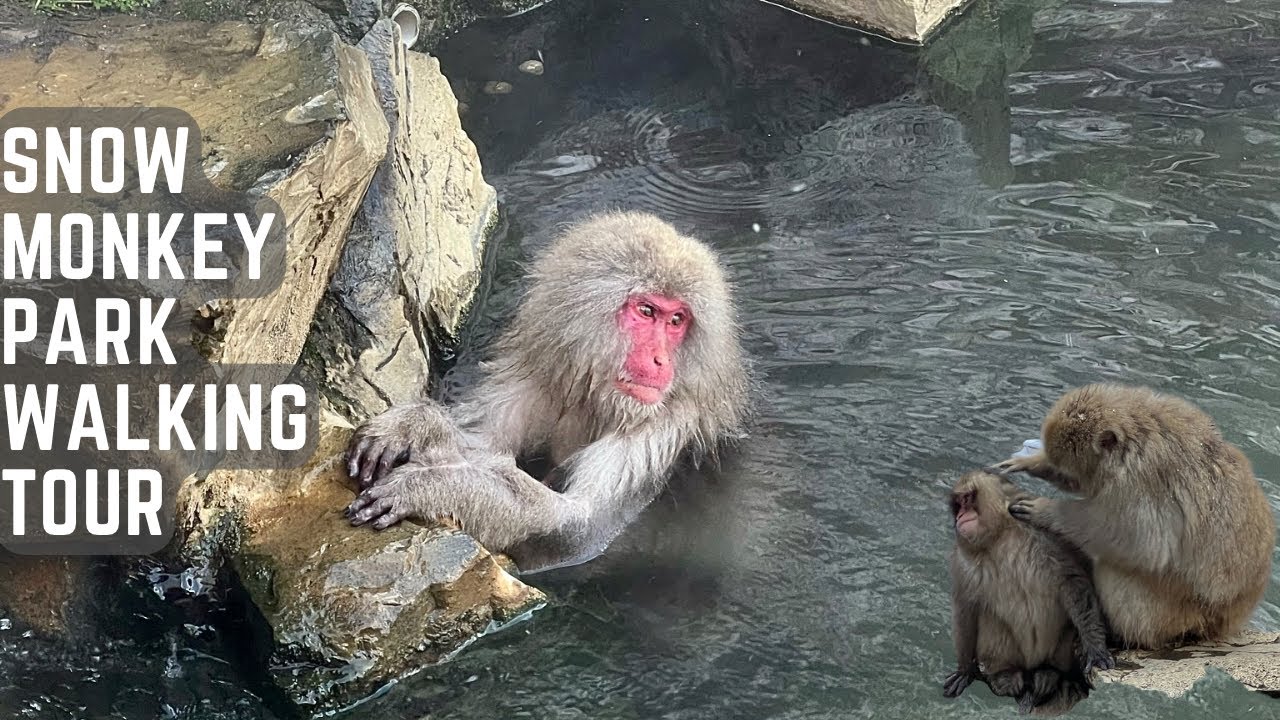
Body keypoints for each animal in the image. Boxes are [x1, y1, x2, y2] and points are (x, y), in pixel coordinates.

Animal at [343, 211, 750, 573]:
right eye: (647, 311)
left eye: (677, 320)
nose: (661, 360)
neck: (596, 397)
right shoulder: (541, 378)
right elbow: (480, 444)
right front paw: (413, 426)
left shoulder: (659, 430)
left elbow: (578, 531)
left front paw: (433, 486)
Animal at [945, 471, 1114, 715]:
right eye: (957, 505)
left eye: (967, 499)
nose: (960, 516)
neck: (999, 538)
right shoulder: (961, 562)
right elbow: (965, 608)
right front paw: (965, 670)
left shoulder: (1043, 533)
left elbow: (1073, 581)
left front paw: (1096, 648)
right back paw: (1006, 677)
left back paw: (1049, 675)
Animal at [993, 383, 1276, 649]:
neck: (1135, 436)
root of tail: (1229, 620)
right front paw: (1032, 462)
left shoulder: (1138, 482)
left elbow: (1137, 540)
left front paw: (1045, 510)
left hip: (1174, 617)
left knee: (1116, 566)